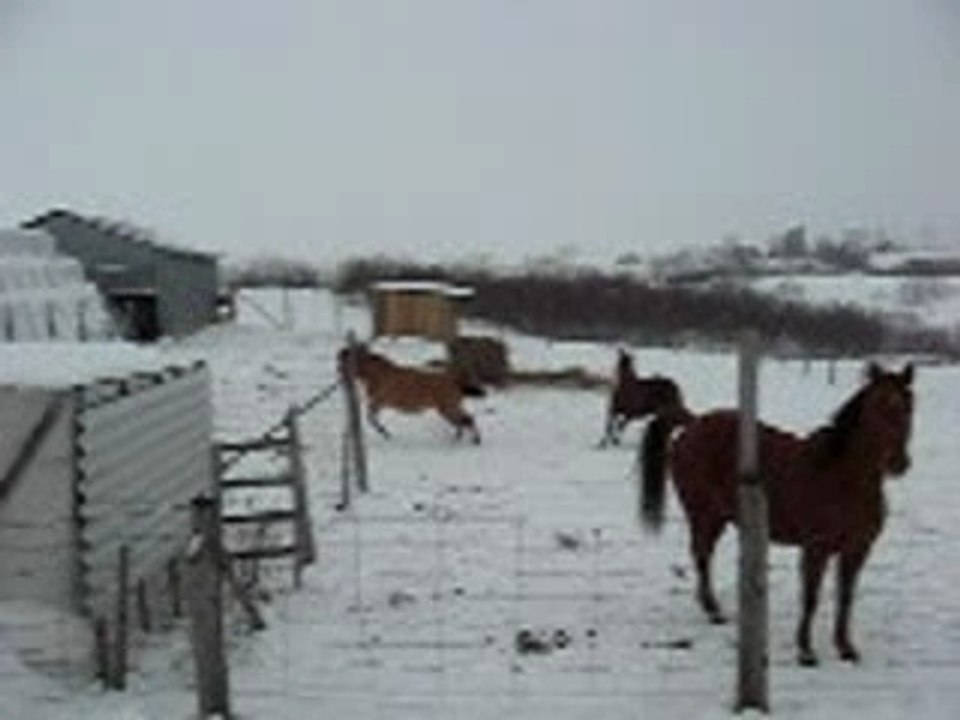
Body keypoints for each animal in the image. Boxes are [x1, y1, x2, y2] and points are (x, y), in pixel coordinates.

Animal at [338, 343, 484, 443]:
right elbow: (371, 417)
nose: (339, 370)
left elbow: (370, 417)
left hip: (448, 408)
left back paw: (474, 439)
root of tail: (455, 381)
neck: (376, 373)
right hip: (448, 408)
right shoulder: (378, 402)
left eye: (345, 358)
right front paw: (384, 432)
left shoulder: (379, 401)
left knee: (467, 419)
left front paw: (385, 432)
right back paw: (460, 437)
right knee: (464, 420)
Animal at [640, 362, 915, 666]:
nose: (899, 464)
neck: (841, 477)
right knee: (702, 556)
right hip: (704, 515)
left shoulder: (857, 550)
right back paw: (714, 611)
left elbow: (846, 597)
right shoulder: (815, 549)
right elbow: (811, 597)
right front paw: (806, 651)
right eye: (878, 406)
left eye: (909, 406)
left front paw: (846, 648)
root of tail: (694, 423)